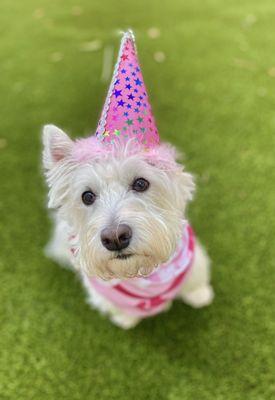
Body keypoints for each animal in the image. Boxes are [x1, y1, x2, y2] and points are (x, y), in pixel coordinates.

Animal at [42, 31, 215, 328]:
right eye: (87, 196)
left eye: (141, 183)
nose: (115, 238)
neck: (145, 275)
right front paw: (126, 319)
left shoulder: (194, 260)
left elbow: (195, 279)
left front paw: (201, 295)